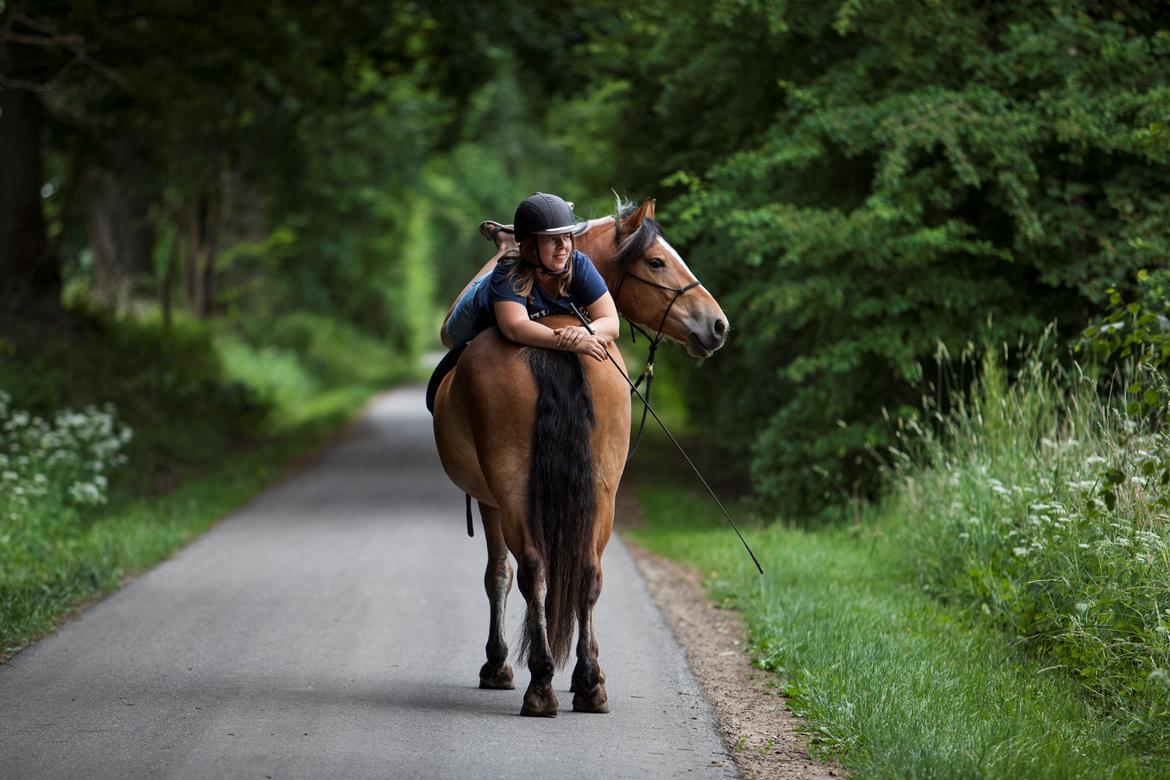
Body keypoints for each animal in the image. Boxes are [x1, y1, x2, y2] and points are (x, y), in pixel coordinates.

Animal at [428, 198, 720, 715]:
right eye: (656, 262)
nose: (718, 324)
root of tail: (557, 340)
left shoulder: (491, 500)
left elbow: (498, 575)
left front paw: (498, 665)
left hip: (515, 487)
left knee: (533, 570)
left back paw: (542, 683)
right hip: (601, 486)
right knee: (585, 570)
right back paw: (585, 683)